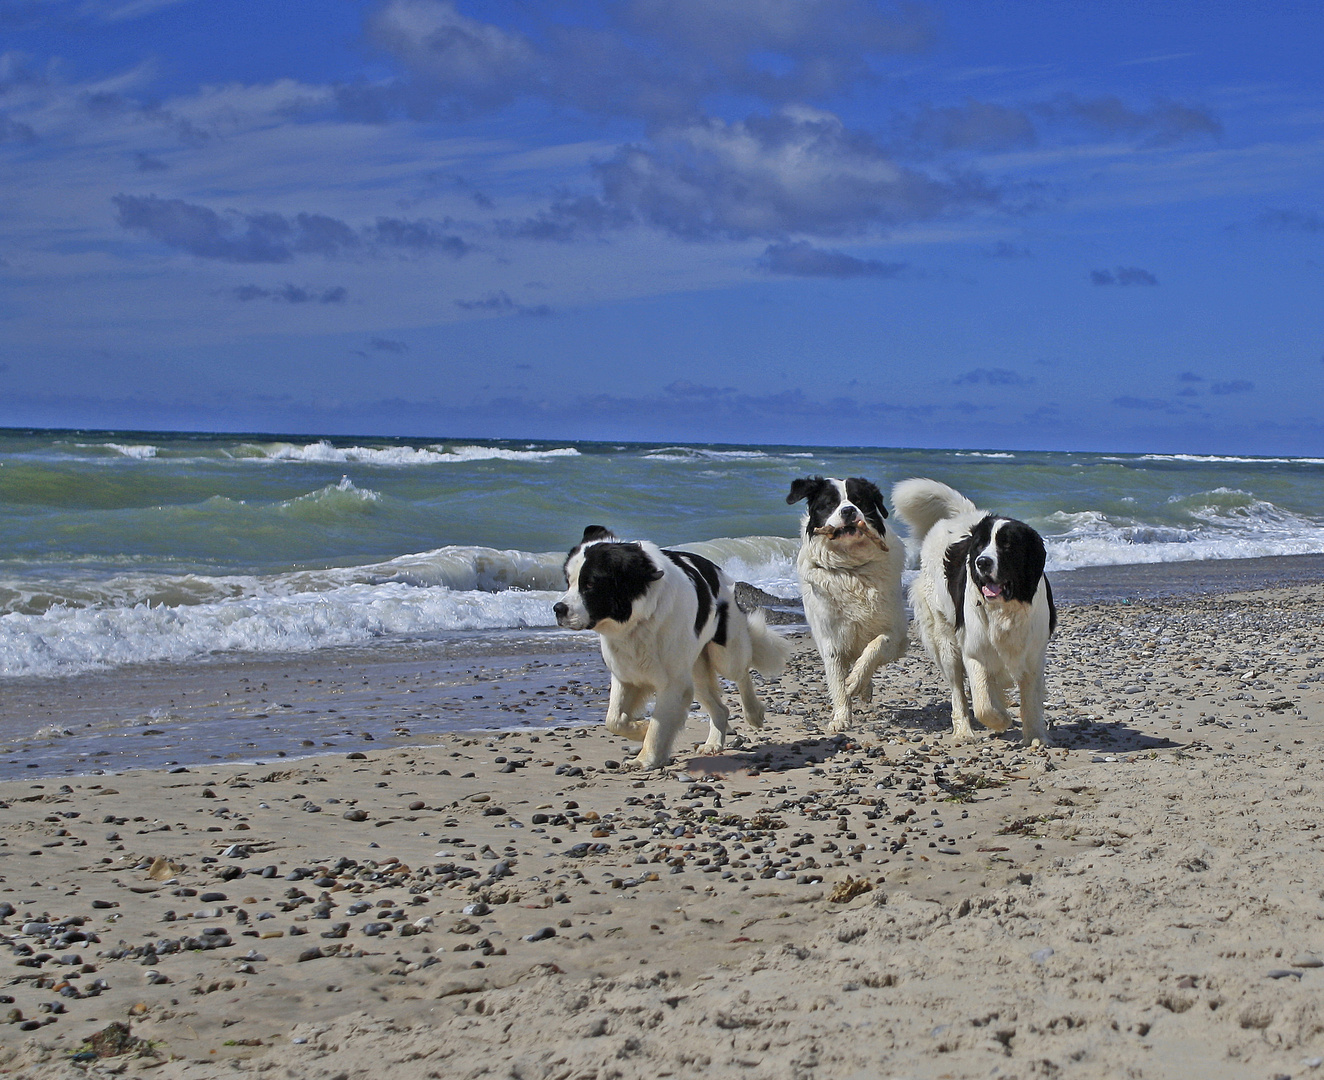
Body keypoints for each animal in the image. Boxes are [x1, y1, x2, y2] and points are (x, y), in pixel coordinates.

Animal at [895, 476, 1059, 746]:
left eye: (1008, 545)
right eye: (980, 546)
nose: (982, 562)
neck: (1005, 609)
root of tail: (962, 515)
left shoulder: (1033, 656)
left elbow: (1031, 701)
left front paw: (1036, 737)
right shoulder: (974, 653)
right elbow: (984, 706)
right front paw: (1002, 720)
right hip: (946, 641)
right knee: (957, 691)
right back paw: (964, 730)